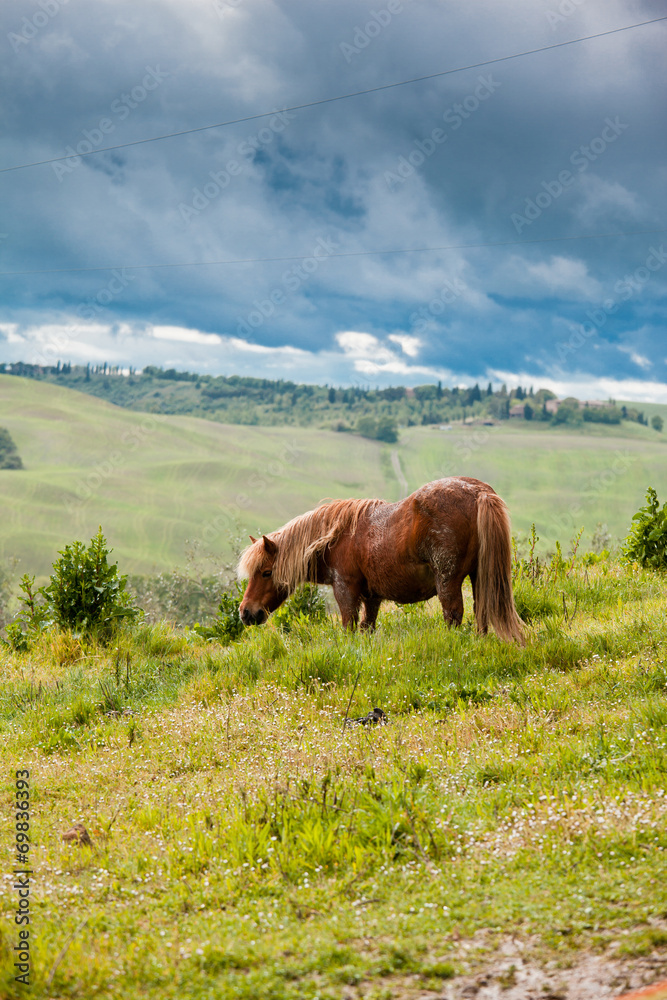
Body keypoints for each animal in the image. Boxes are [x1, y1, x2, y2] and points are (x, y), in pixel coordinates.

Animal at [237, 480, 524, 644]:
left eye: (265, 572)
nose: (246, 613)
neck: (333, 538)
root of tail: (479, 492)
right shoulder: (371, 597)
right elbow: (368, 627)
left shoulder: (346, 591)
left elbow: (349, 627)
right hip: (479, 577)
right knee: (481, 613)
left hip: (448, 581)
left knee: (454, 614)